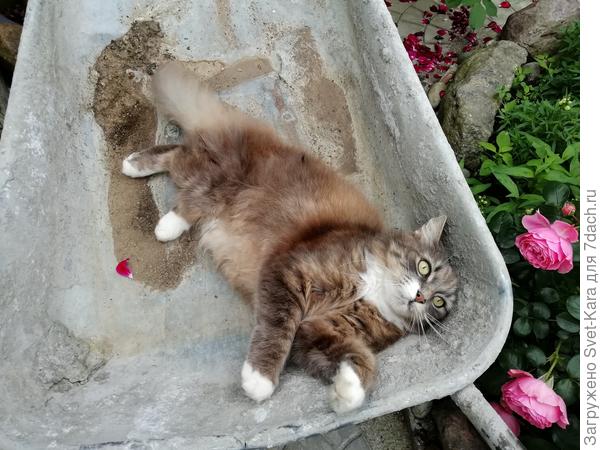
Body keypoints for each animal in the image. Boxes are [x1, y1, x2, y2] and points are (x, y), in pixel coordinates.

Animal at [121, 62, 458, 413]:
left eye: (439, 303)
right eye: (424, 267)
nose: (421, 296)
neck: (374, 291)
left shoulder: (315, 331)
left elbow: (361, 359)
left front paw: (347, 392)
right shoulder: (288, 273)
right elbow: (276, 329)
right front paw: (259, 379)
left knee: (180, 161)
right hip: (214, 182)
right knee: (180, 166)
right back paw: (145, 186)